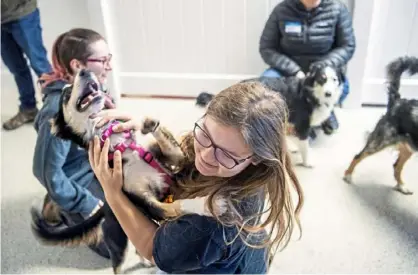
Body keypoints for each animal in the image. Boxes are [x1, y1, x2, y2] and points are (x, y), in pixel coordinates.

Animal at [195, 66, 342, 167]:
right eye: (322, 79)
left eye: (334, 79)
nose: (328, 93)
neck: (310, 92)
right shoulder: (302, 125)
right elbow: (305, 147)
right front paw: (307, 162)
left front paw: (293, 149)